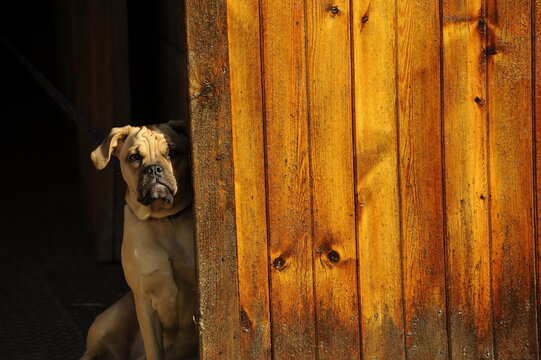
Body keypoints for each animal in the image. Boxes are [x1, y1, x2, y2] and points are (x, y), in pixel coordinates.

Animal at [80, 121, 198, 360]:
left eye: (172, 152)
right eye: (134, 157)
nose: (153, 169)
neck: (163, 221)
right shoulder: (144, 302)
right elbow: (154, 347)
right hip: (113, 317)